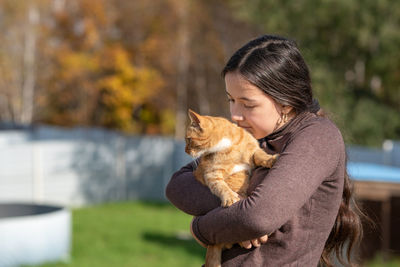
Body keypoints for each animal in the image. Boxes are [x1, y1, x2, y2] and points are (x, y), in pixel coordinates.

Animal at [185, 110, 276, 266]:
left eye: (189, 139)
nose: (185, 151)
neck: (229, 146)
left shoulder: (254, 150)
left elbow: (261, 155)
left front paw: (270, 159)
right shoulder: (212, 174)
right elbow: (221, 187)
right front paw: (229, 198)